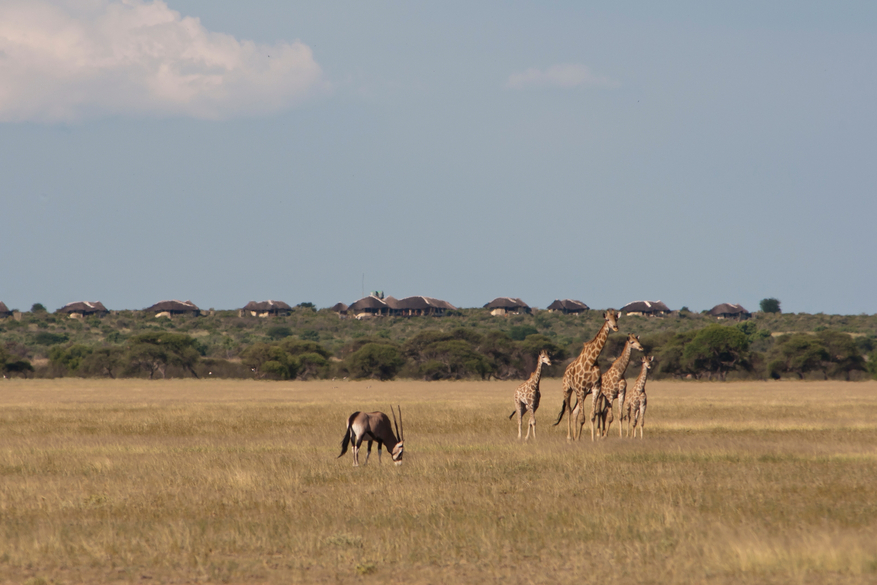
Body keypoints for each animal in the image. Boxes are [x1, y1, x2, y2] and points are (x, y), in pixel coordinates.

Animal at [552, 310, 620, 438]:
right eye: (607, 319)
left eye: (616, 318)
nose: (615, 327)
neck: (592, 360)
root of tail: (566, 370)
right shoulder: (580, 389)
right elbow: (582, 417)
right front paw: (579, 437)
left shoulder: (595, 388)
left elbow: (592, 415)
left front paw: (592, 438)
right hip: (568, 389)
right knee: (569, 410)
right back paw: (569, 437)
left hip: (581, 394)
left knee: (574, 411)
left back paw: (574, 436)